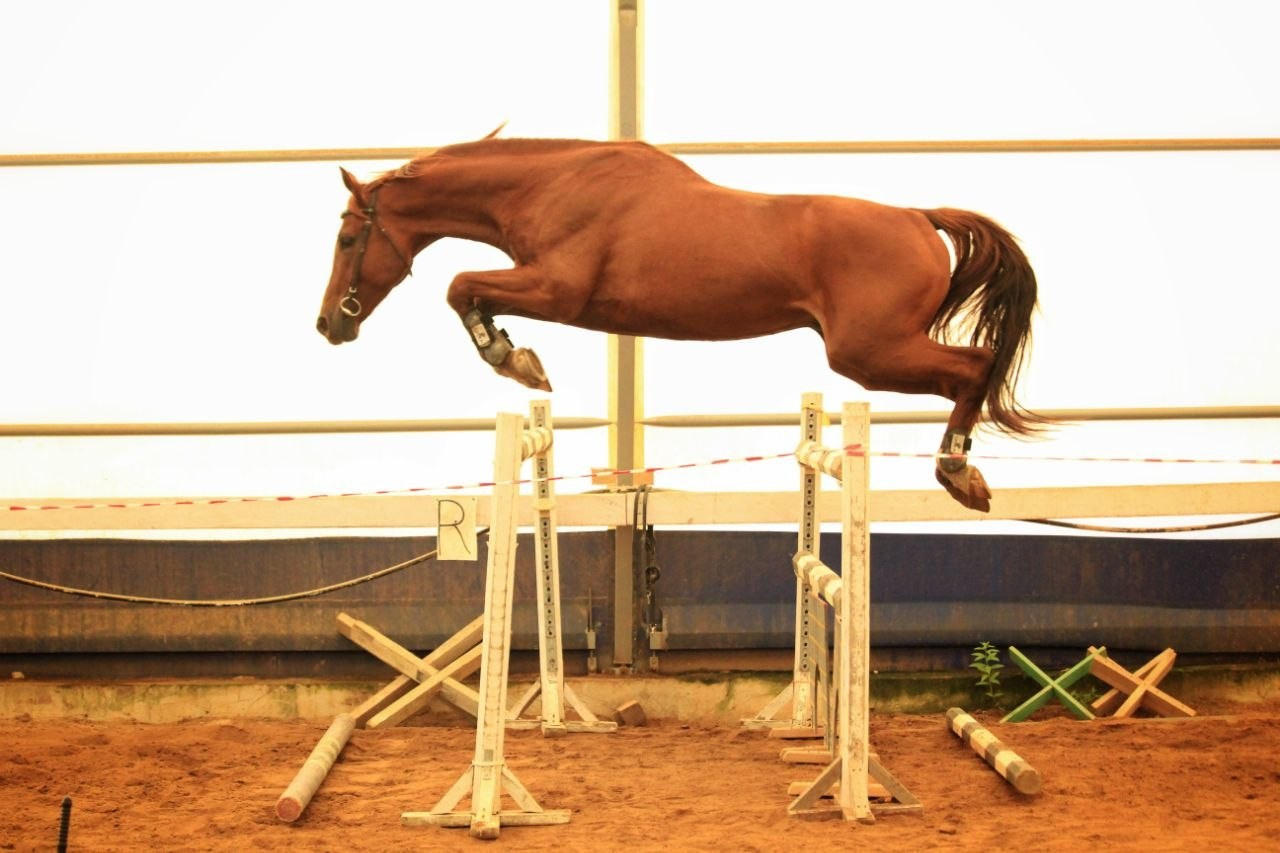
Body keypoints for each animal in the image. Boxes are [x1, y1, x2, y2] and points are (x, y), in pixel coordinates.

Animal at [316, 134, 1047, 512]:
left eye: (349, 238)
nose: (329, 324)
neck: (550, 185)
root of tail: (919, 218)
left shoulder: (558, 290)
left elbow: (460, 286)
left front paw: (515, 360)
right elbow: (468, 290)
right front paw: (516, 356)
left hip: (869, 351)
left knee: (974, 367)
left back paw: (959, 474)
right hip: (874, 350)